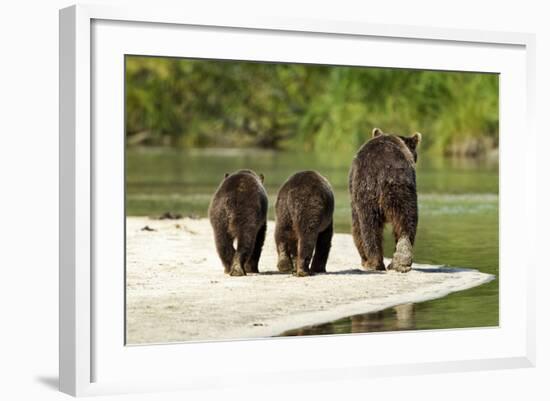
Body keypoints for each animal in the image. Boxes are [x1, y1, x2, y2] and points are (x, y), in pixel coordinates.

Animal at [350, 128, 422, 272]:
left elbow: (356, 226)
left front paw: (364, 259)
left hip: (367, 191)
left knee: (368, 225)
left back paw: (373, 262)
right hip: (403, 190)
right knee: (407, 220)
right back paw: (401, 261)